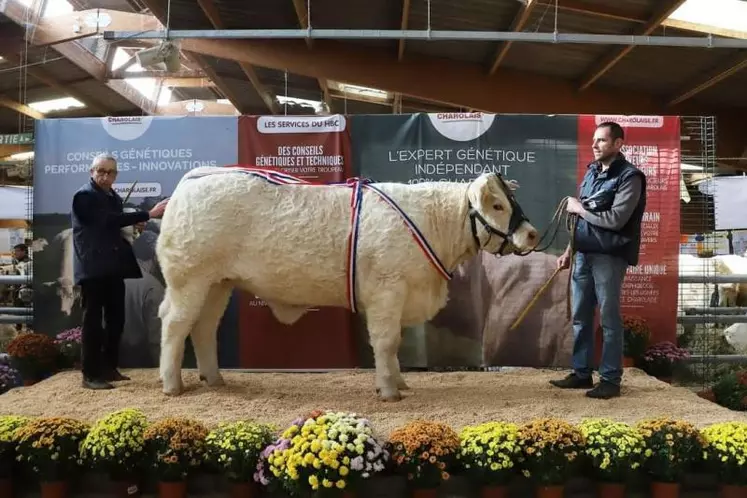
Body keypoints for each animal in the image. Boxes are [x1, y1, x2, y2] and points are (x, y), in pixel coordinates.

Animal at [156, 169, 536, 402]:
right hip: (189, 277)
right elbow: (386, 342)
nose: (532, 234)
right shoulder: (387, 289)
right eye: (497, 205)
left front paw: (399, 381)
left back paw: (214, 378)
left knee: (203, 327)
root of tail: (195, 178)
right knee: (176, 325)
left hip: (218, 283)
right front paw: (389, 391)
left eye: (511, 201)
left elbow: (394, 346)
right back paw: (172, 384)